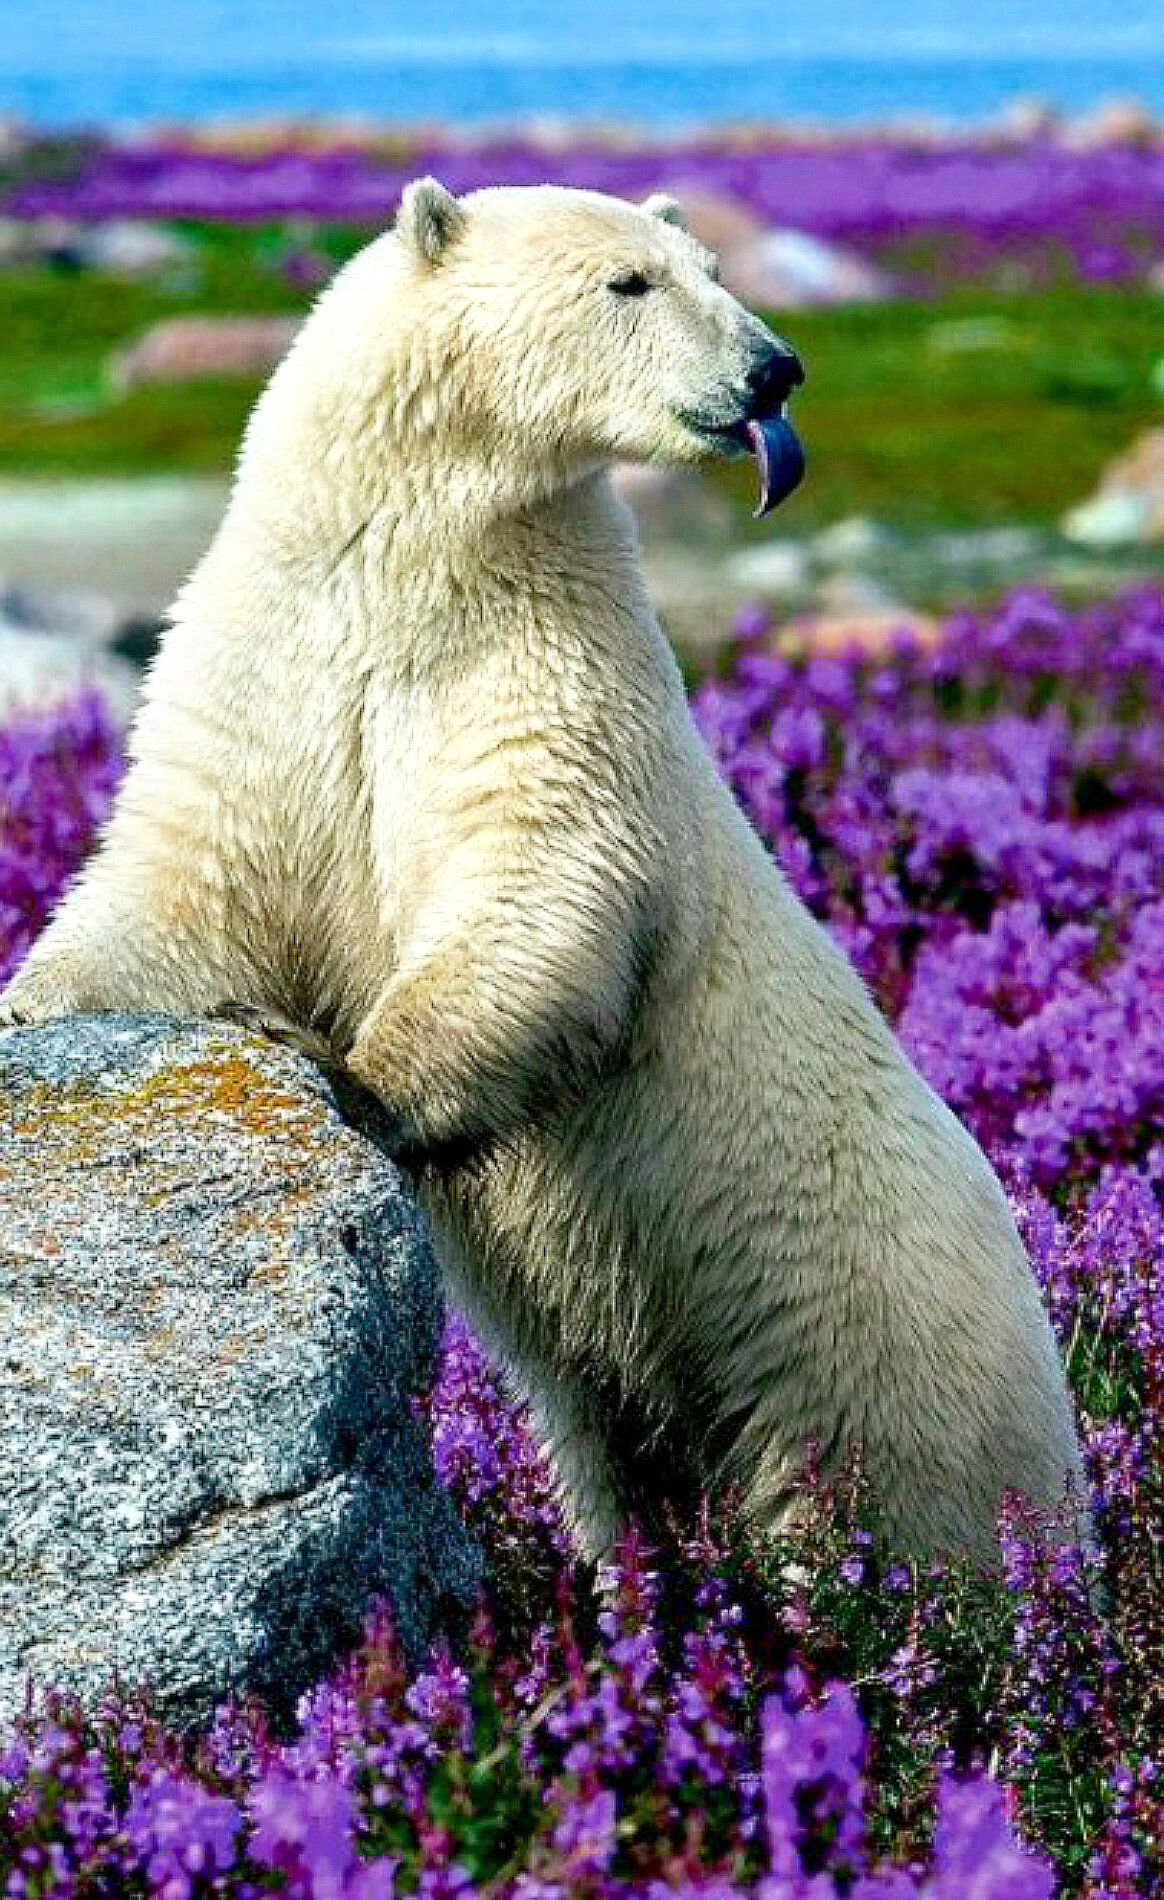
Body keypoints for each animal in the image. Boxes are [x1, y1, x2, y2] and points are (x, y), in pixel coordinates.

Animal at [0, 178, 1089, 1569]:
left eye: (710, 265)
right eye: (632, 280)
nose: (774, 367)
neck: (414, 561)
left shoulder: (543, 661)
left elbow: (539, 875)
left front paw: (353, 1083)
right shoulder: (276, 665)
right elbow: (186, 879)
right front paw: (38, 1005)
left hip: (874, 1331)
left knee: (894, 1512)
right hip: (624, 1392)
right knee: (622, 1462)